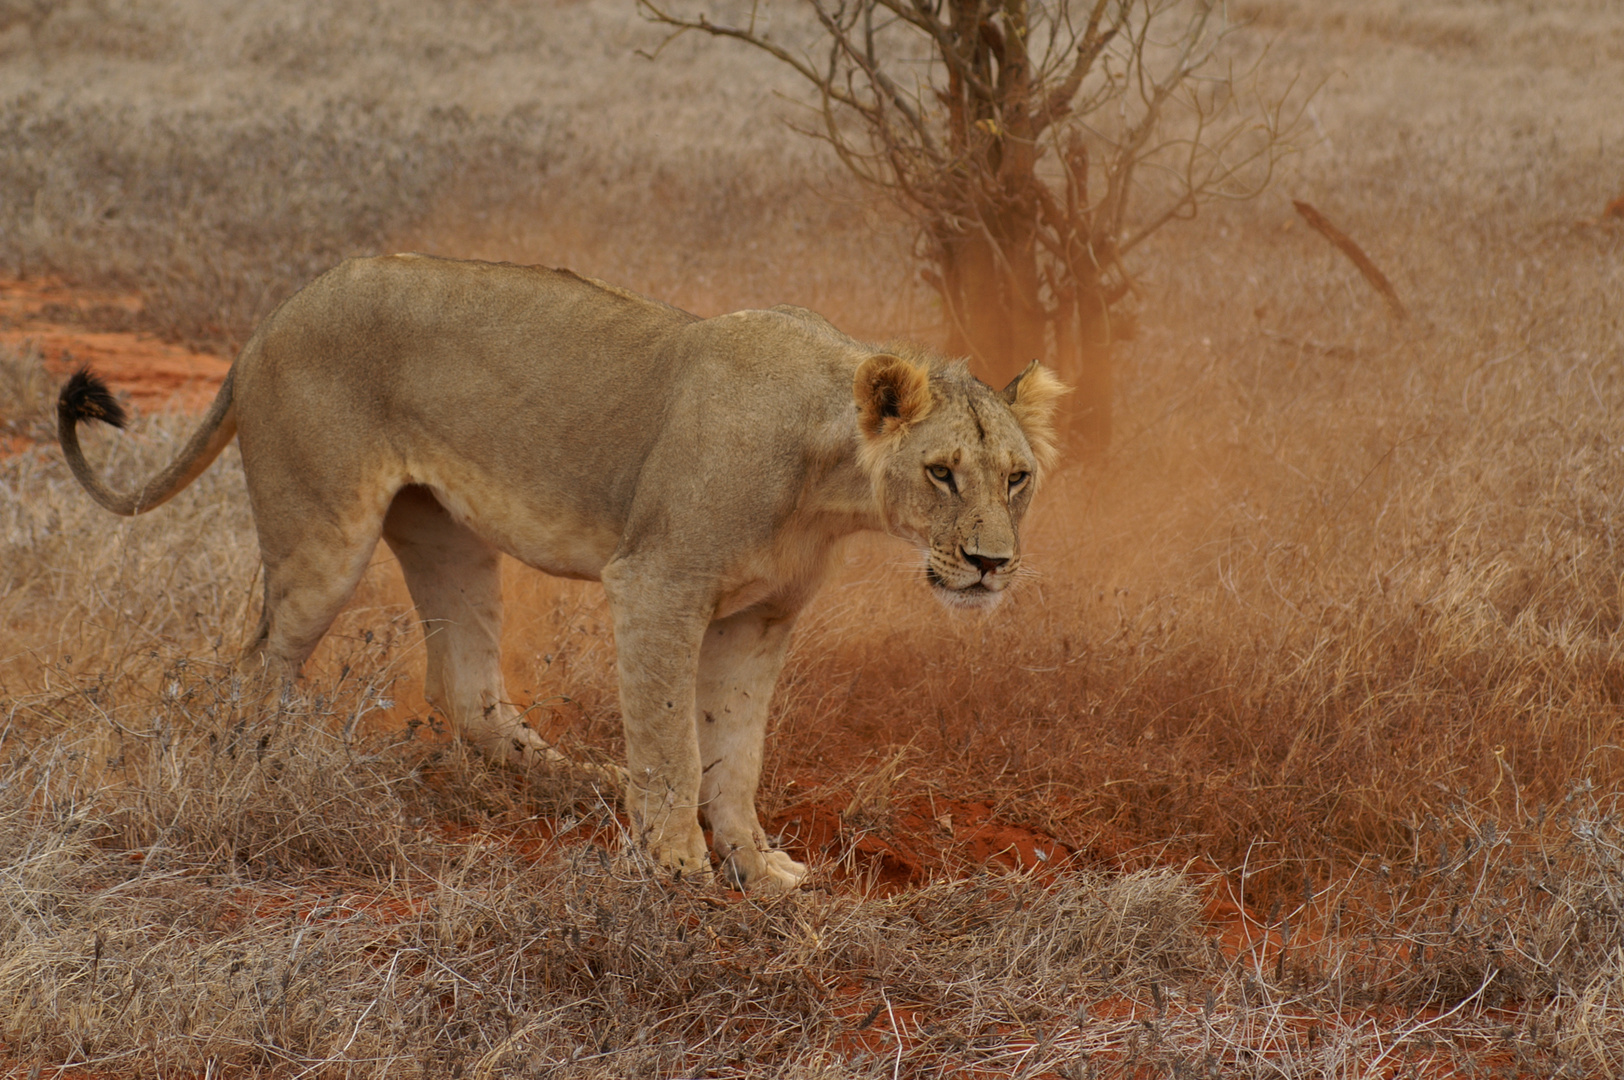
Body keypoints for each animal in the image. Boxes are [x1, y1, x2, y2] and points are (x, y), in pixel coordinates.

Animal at [60, 250, 1065, 883]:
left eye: (1017, 478)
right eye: (941, 473)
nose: (990, 565)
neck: (829, 481)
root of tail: (270, 320)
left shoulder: (762, 618)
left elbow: (736, 752)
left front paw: (756, 865)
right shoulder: (658, 587)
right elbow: (672, 742)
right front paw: (677, 865)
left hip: (447, 534)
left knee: (464, 688)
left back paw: (587, 781)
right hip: (323, 538)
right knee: (253, 665)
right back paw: (262, 781)